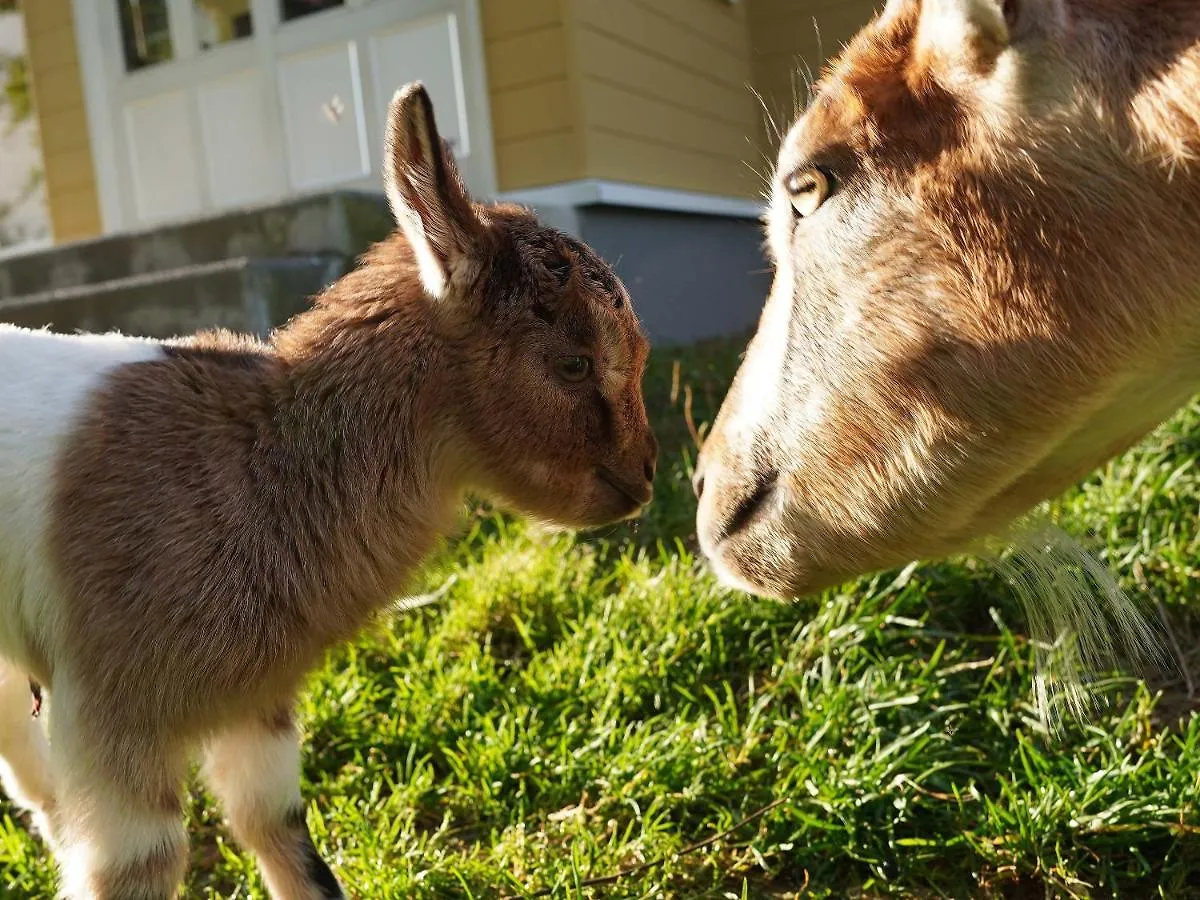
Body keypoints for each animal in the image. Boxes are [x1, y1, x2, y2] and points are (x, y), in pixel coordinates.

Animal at [0, 81, 657, 897]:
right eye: (573, 364)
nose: (646, 477)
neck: (257, 461)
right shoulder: (114, 722)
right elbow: (140, 866)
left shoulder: (255, 708)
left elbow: (281, 832)